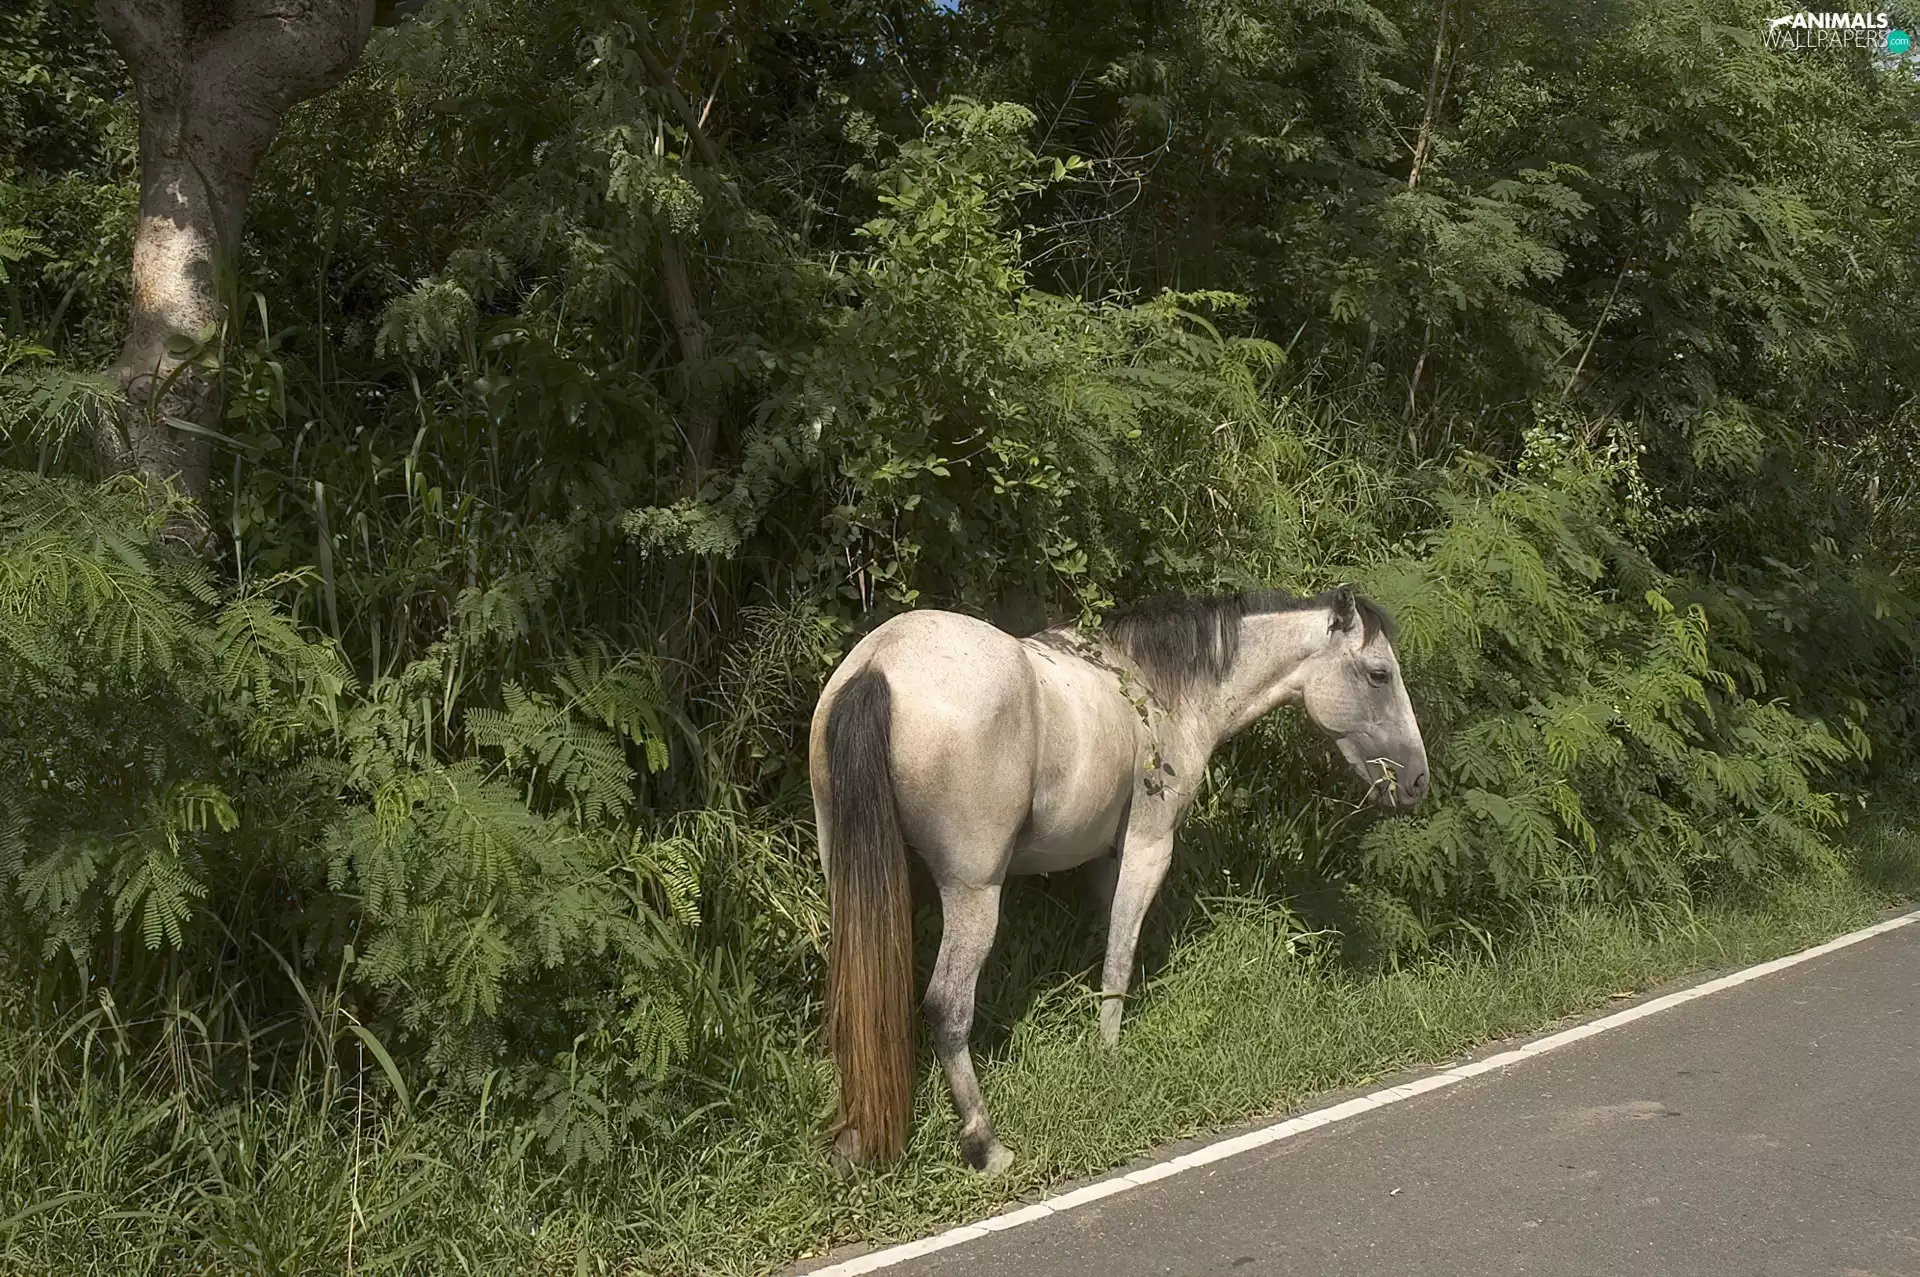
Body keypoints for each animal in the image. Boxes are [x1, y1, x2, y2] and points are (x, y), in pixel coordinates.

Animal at [808, 585, 1429, 1172]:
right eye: (1380, 673)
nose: (1419, 782)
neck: (1156, 689)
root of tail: (881, 664)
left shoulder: (1103, 859)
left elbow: (1111, 942)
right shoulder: (1147, 849)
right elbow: (1120, 955)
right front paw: (1108, 1053)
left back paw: (851, 1145)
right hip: (974, 895)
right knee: (947, 1006)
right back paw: (985, 1146)